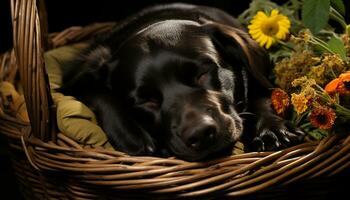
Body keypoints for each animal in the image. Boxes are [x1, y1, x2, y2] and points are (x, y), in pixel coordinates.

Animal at [60, 3, 304, 162]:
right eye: (146, 100)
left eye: (202, 73)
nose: (201, 133)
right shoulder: (79, 76)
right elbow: (100, 96)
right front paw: (132, 136)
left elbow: (261, 96)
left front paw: (271, 129)